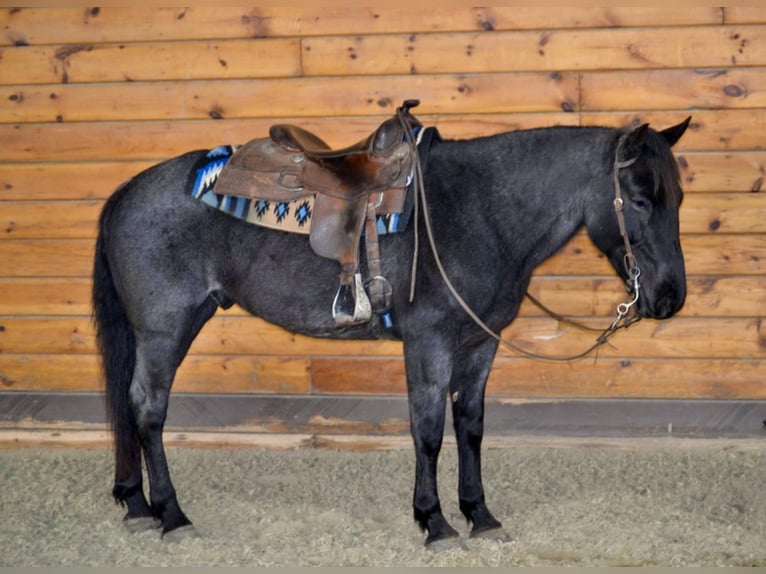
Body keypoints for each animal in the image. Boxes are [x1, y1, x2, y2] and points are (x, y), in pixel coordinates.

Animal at [93, 109, 692, 548]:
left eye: (680, 198)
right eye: (641, 199)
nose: (670, 296)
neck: (479, 212)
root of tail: (127, 192)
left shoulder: (479, 346)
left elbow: (470, 428)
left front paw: (479, 514)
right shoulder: (430, 345)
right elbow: (427, 431)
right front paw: (435, 521)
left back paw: (138, 504)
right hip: (164, 329)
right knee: (147, 407)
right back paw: (171, 514)